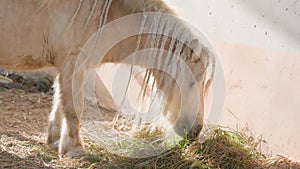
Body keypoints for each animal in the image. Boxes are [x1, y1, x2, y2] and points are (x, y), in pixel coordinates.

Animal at [0, 0, 216, 157]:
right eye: (194, 81)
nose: (196, 131)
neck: (107, 13)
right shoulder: (72, 63)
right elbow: (74, 107)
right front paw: (74, 149)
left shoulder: (67, 66)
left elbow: (60, 102)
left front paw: (54, 141)